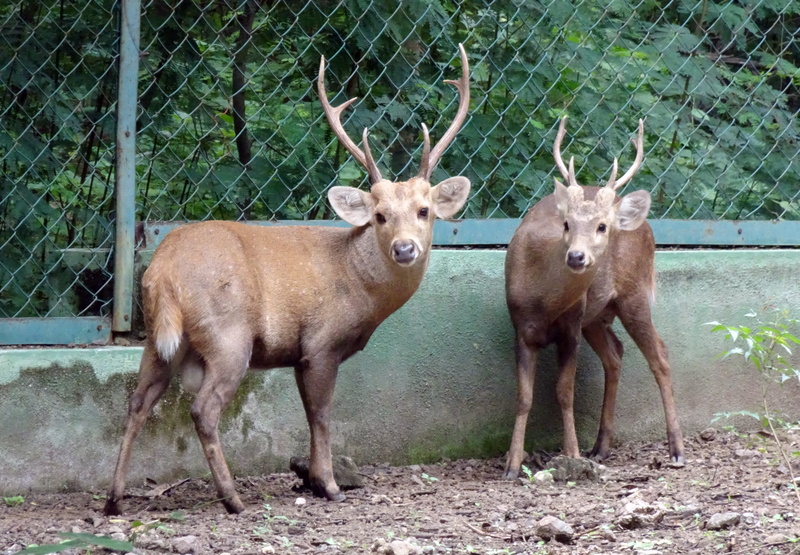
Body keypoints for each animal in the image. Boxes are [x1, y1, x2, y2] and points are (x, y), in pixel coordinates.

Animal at [103, 44, 471, 516]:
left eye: (425, 211)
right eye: (379, 215)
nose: (405, 249)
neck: (357, 283)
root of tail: (163, 269)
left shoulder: (298, 355)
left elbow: (309, 414)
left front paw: (313, 480)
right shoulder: (320, 343)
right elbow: (322, 414)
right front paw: (329, 485)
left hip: (158, 339)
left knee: (137, 402)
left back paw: (114, 500)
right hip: (227, 334)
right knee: (204, 409)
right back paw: (233, 498)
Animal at [502, 116, 685, 480]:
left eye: (602, 227)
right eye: (566, 223)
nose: (576, 256)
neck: (545, 302)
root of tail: (645, 226)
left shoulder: (571, 326)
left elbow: (564, 392)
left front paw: (571, 455)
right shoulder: (520, 327)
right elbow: (523, 396)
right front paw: (512, 464)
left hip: (633, 294)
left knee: (659, 354)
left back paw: (676, 449)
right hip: (597, 315)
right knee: (615, 354)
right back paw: (600, 447)